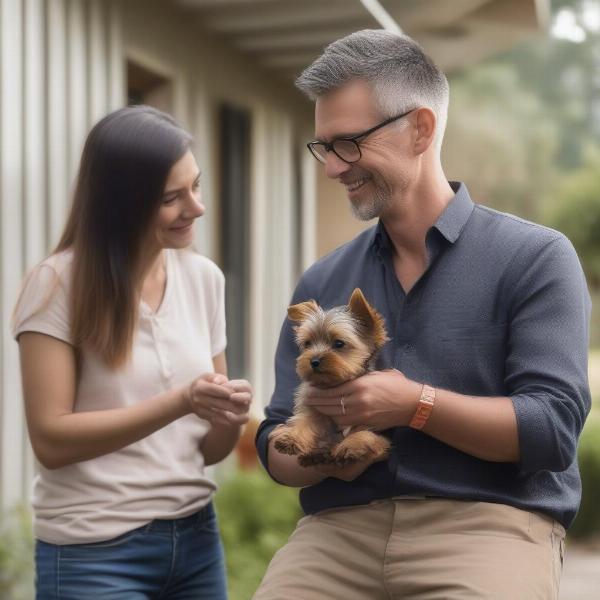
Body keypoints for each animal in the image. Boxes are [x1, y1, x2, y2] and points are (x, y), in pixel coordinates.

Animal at [270, 288, 392, 466]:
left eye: (339, 343)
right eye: (307, 343)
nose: (313, 361)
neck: (333, 383)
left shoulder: (372, 417)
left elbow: (363, 433)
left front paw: (351, 445)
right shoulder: (315, 410)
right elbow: (306, 420)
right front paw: (292, 437)